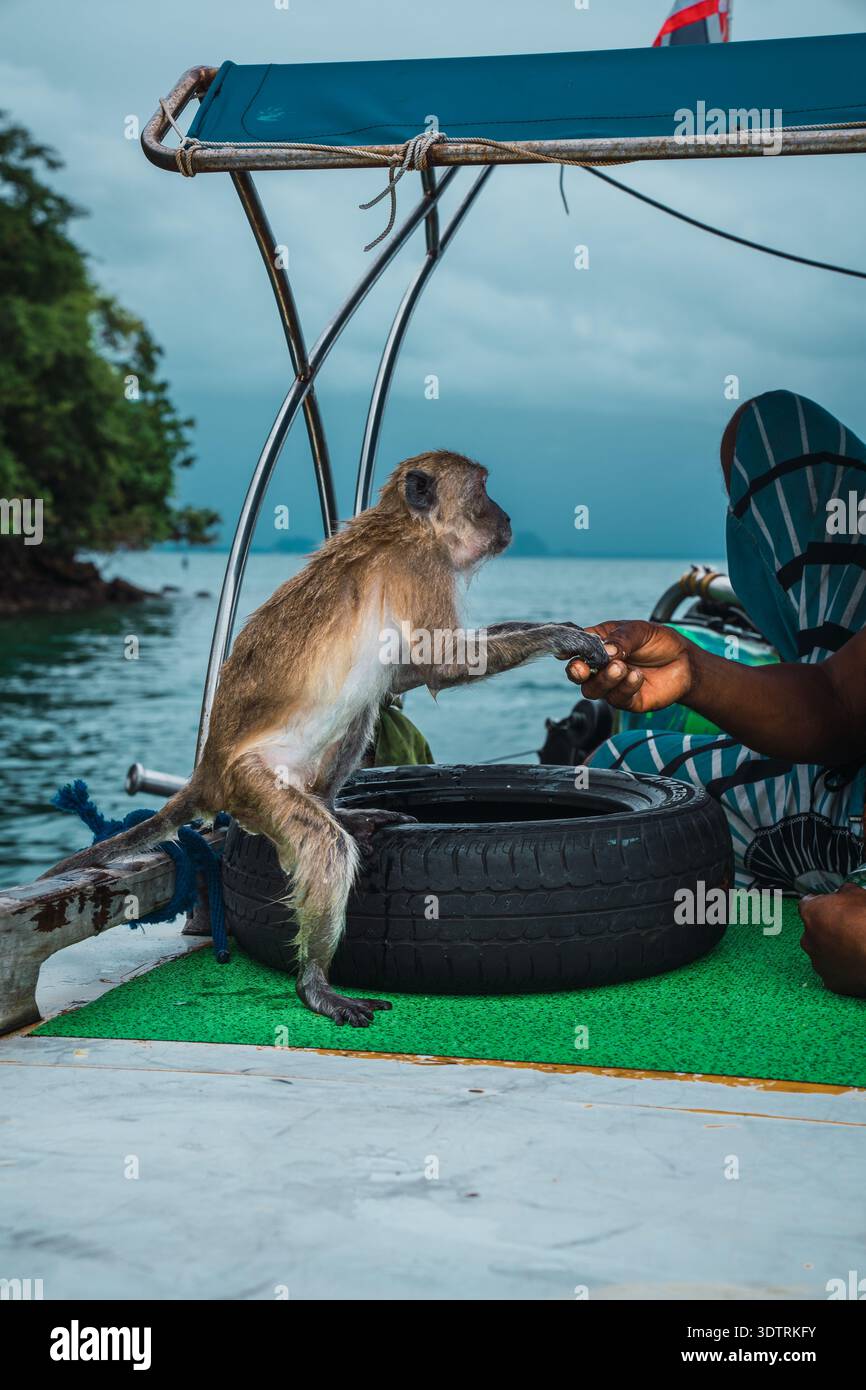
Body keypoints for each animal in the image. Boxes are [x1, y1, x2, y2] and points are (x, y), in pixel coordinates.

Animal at [43, 452, 609, 1026]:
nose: (505, 516)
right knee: (324, 842)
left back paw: (337, 810)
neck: (408, 525)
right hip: (254, 784)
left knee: (361, 712)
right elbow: (443, 665)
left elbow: (404, 672)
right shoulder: (423, 568)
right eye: (482, 490)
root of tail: (209, 772)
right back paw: (314, 980)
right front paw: (560, 635)